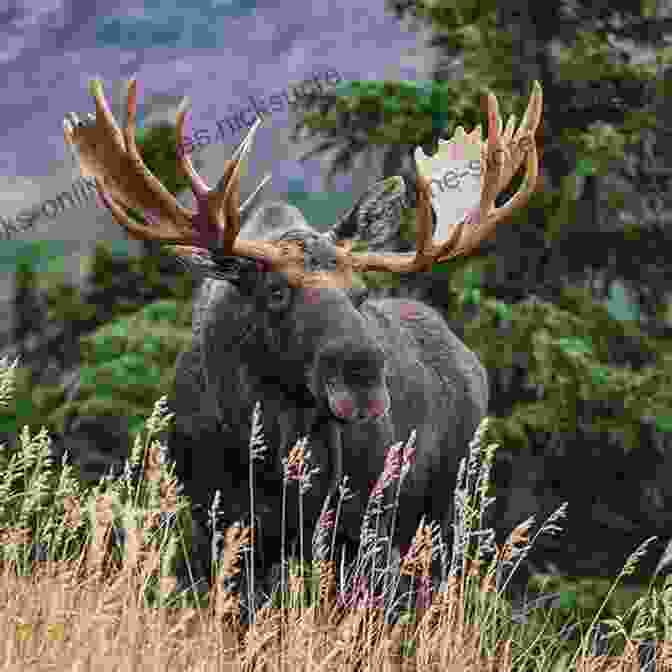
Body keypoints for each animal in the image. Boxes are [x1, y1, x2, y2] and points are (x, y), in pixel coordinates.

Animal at [63, 77, 544, 604]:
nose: (362, 377)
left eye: (361, 292)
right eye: (276, 291)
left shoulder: (354, 524)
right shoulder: (218, 524)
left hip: (447, 505)